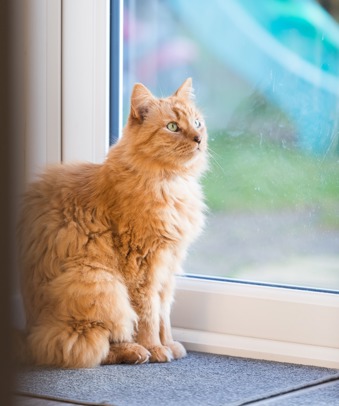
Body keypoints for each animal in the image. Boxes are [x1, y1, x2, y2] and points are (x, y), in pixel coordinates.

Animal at [19, 78, 210, 368]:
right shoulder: (142, 266)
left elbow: (164, 314)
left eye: (197, 123)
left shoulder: (168, 268)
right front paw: (156, 348)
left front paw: (169, 344)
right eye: (173, 127)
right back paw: (135, 351)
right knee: (79, 345)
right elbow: (149, 316)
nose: (198, 139)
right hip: (100, 283)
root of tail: (29, 330)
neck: (170, 183)